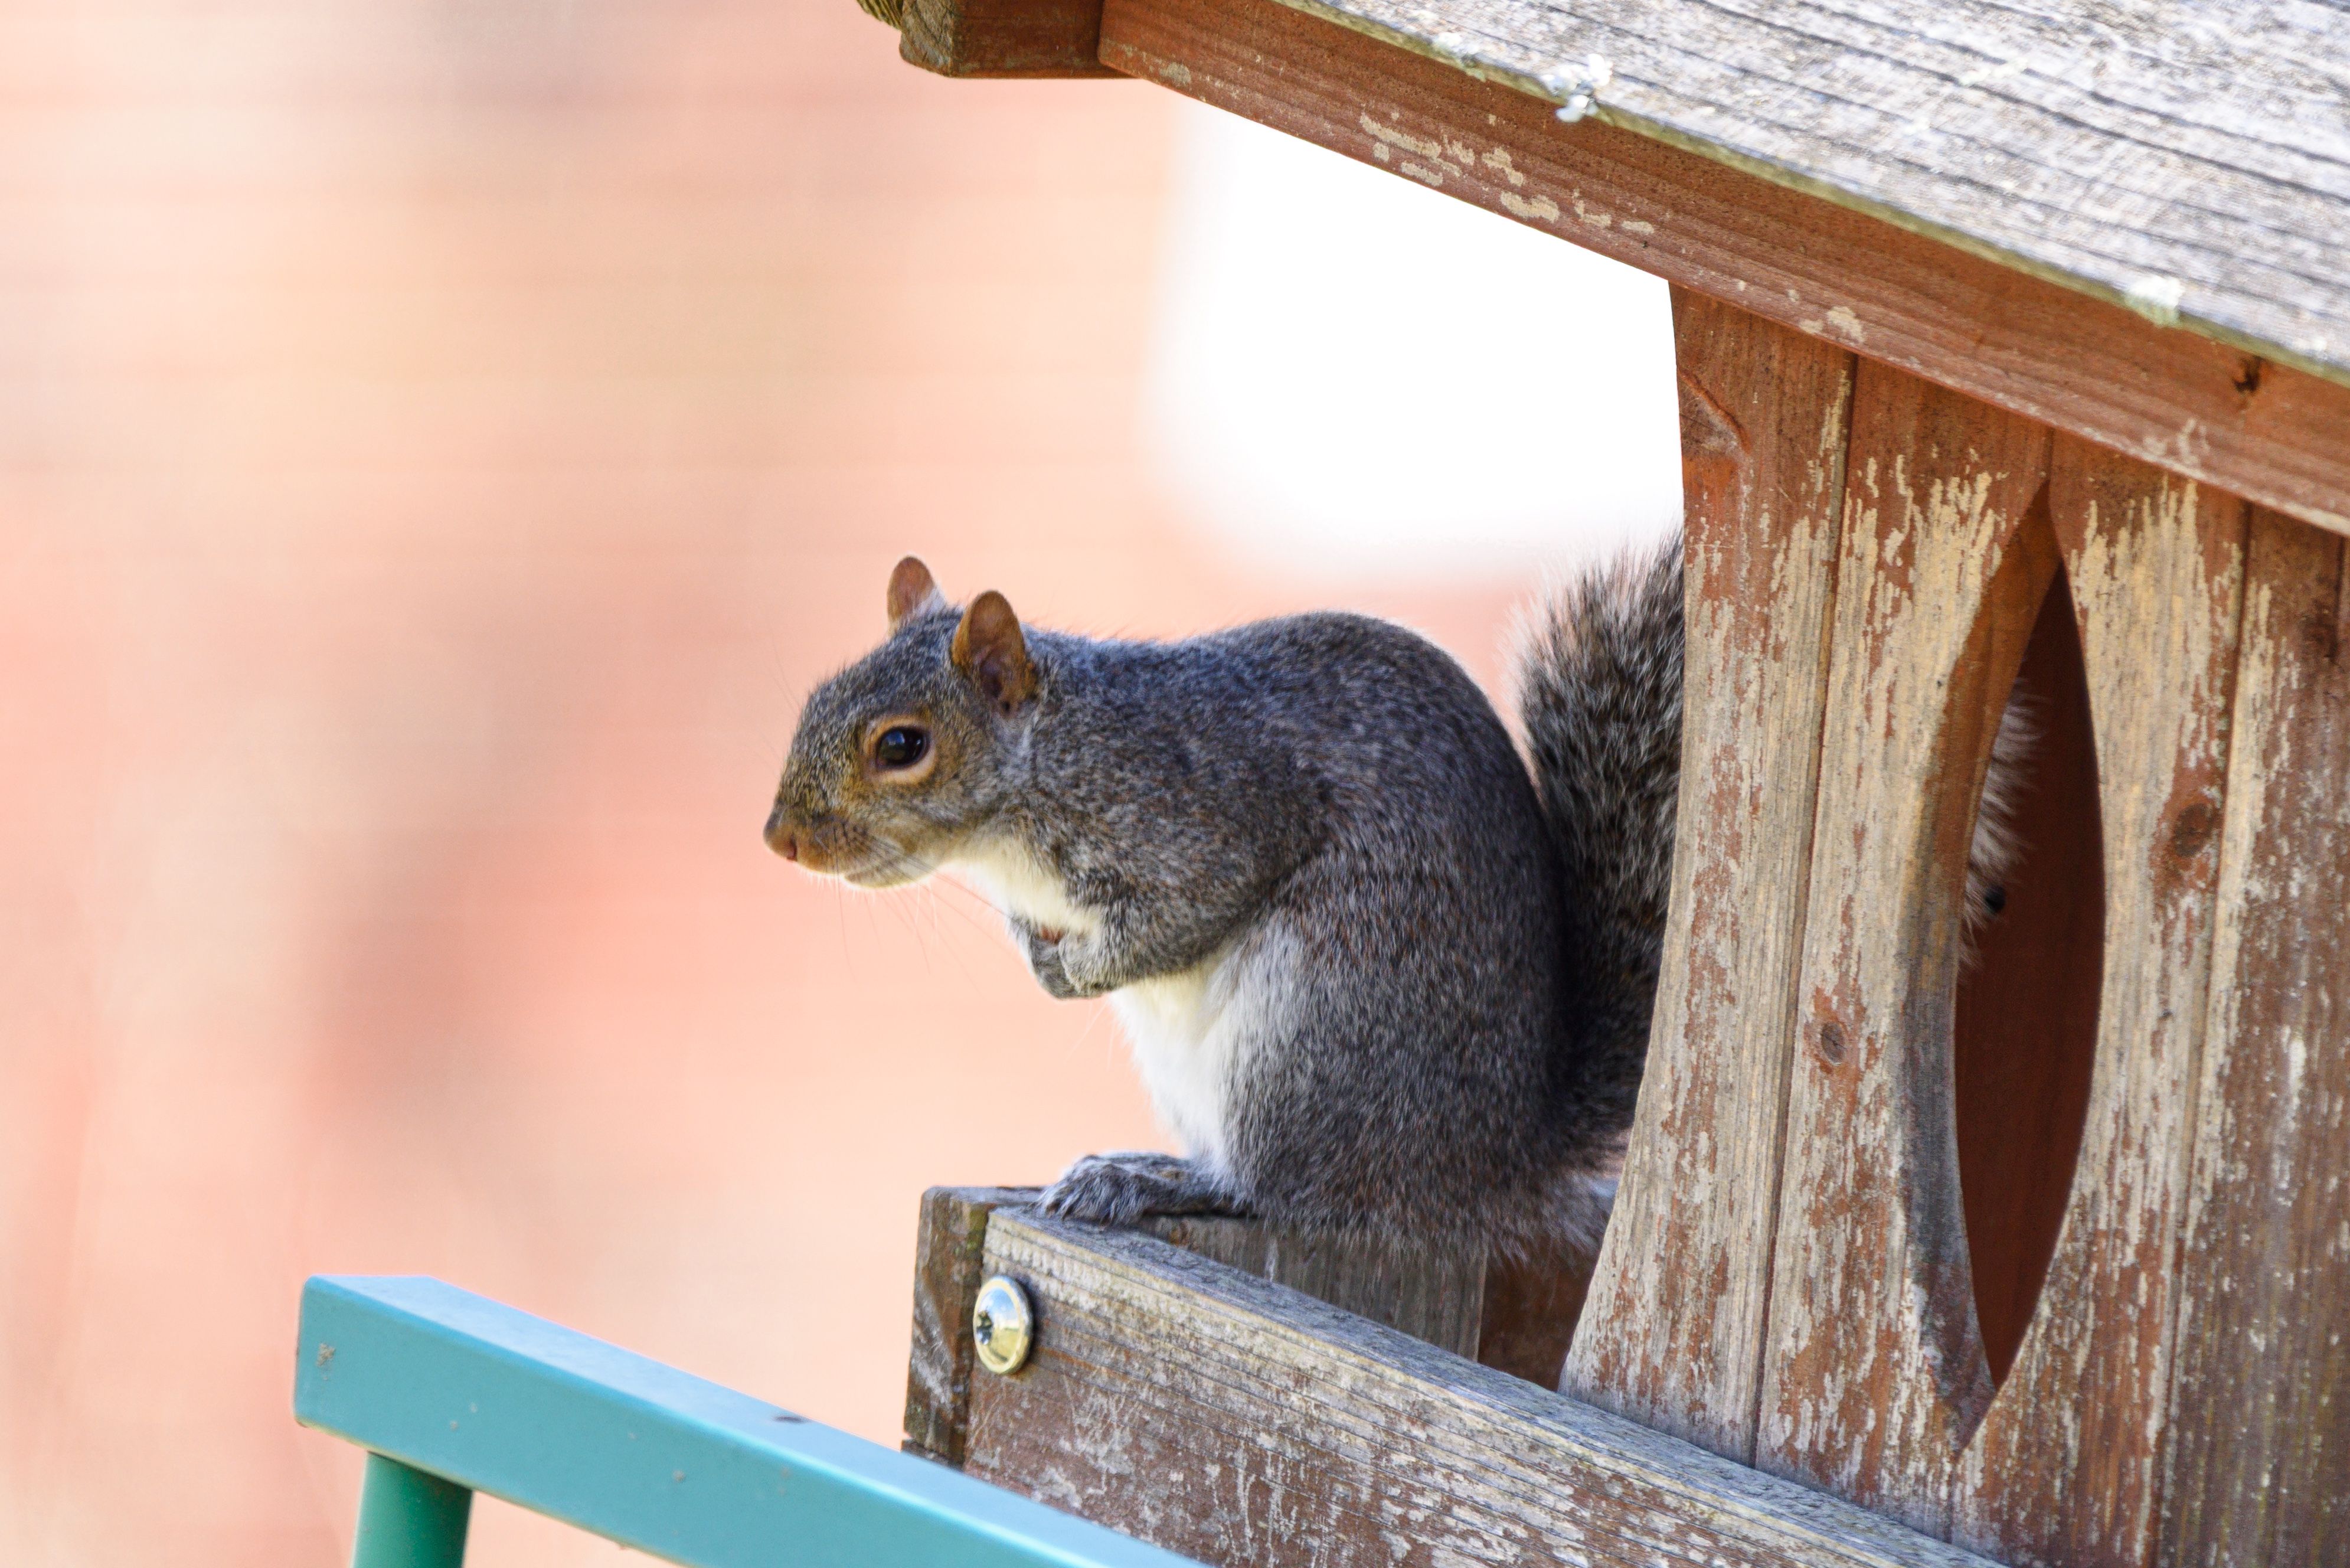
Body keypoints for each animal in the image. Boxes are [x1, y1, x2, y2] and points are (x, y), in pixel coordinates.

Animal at [765, 540, 2027, 1258]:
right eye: (815, 696)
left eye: (903, 745)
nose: (780, 839)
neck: (1049, 769)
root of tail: (1489, 1167)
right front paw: (1040, 954)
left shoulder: (1207, 815)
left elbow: (1184, 912)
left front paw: (1077, 971)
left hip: (1309, 1037)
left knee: (1288, 1194)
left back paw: (1154, 1182)